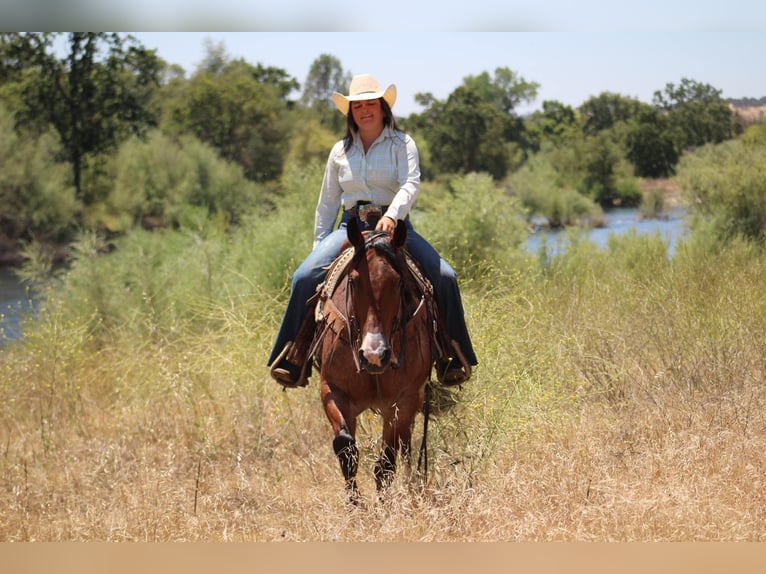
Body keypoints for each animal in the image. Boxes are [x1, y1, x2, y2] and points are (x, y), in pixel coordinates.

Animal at [308, 218, 436, 502]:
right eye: (354, 281)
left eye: (398, 283)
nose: (374, 355)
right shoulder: (333, 389)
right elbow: (345, 446)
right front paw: (356, 504)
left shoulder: (403, 400)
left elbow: (386, 461)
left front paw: (383, 504)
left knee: (404, 445)